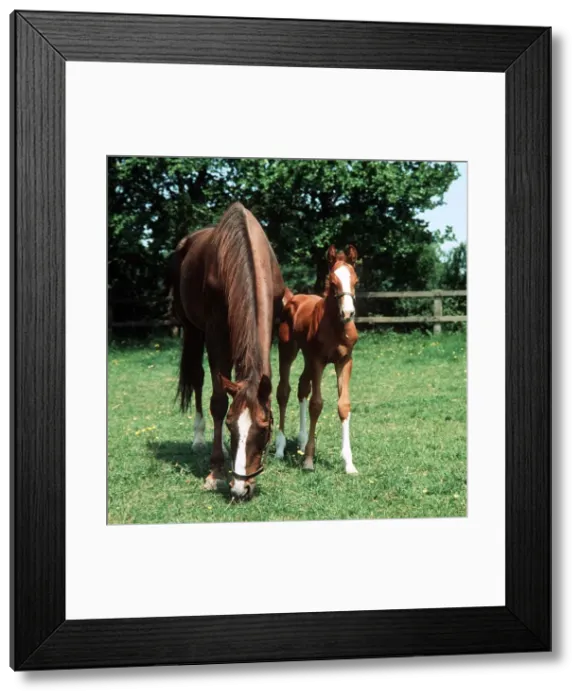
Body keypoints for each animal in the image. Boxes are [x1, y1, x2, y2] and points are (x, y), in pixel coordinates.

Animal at [167, 202, 288, 500]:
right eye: (233, 426)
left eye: (264, 429)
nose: (240, 488)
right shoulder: (215, 334)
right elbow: (219, 402)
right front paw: (216, 473)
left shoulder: (269, 326)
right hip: (192, 330)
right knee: (197, 377)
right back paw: (200, 438)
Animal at [275, 244, 360, 473]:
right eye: (333, 282)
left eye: (356, 281)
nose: (348, 313)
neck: (336, 326)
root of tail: (293, 298)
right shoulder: (319, 361)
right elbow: (316, 404)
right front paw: (309, 460)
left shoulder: (344, 361)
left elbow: (343, 405)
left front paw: (349, 463)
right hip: (288, 351)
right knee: (283, 391)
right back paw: (280, 448)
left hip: (307, 358)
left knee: (302, 387)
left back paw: (302, 441)